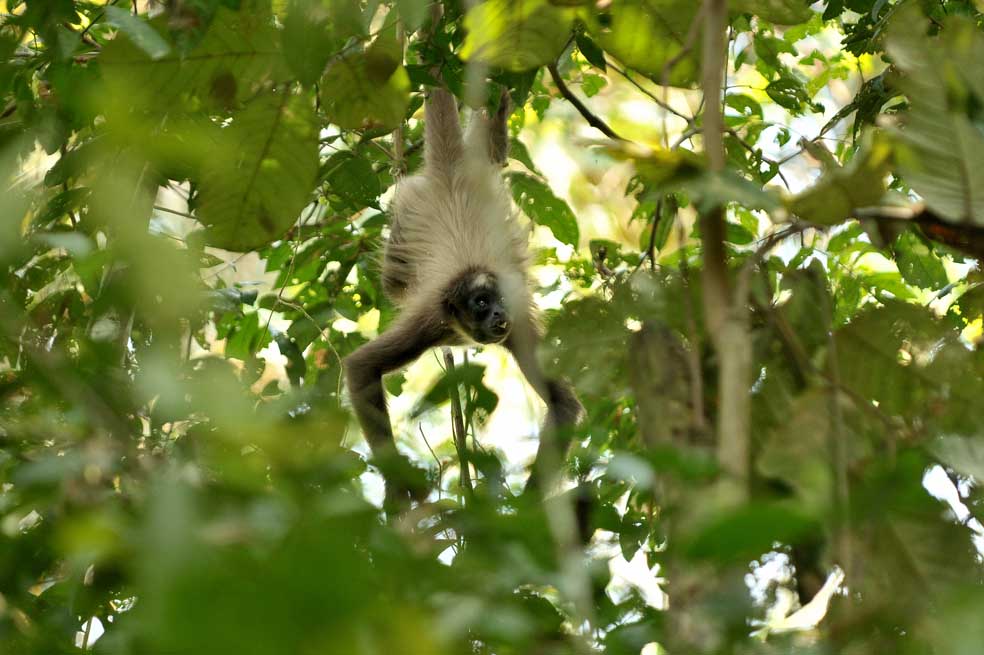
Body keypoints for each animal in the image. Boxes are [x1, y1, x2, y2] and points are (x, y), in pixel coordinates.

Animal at [344, 87, 584, 513]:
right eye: (480, 304)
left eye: (496, 301)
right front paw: (397, 488)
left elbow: (562, 402)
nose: (498, 314)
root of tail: (450, 171)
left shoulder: (515, 322)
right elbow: (361, 368)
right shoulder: (430, 319)